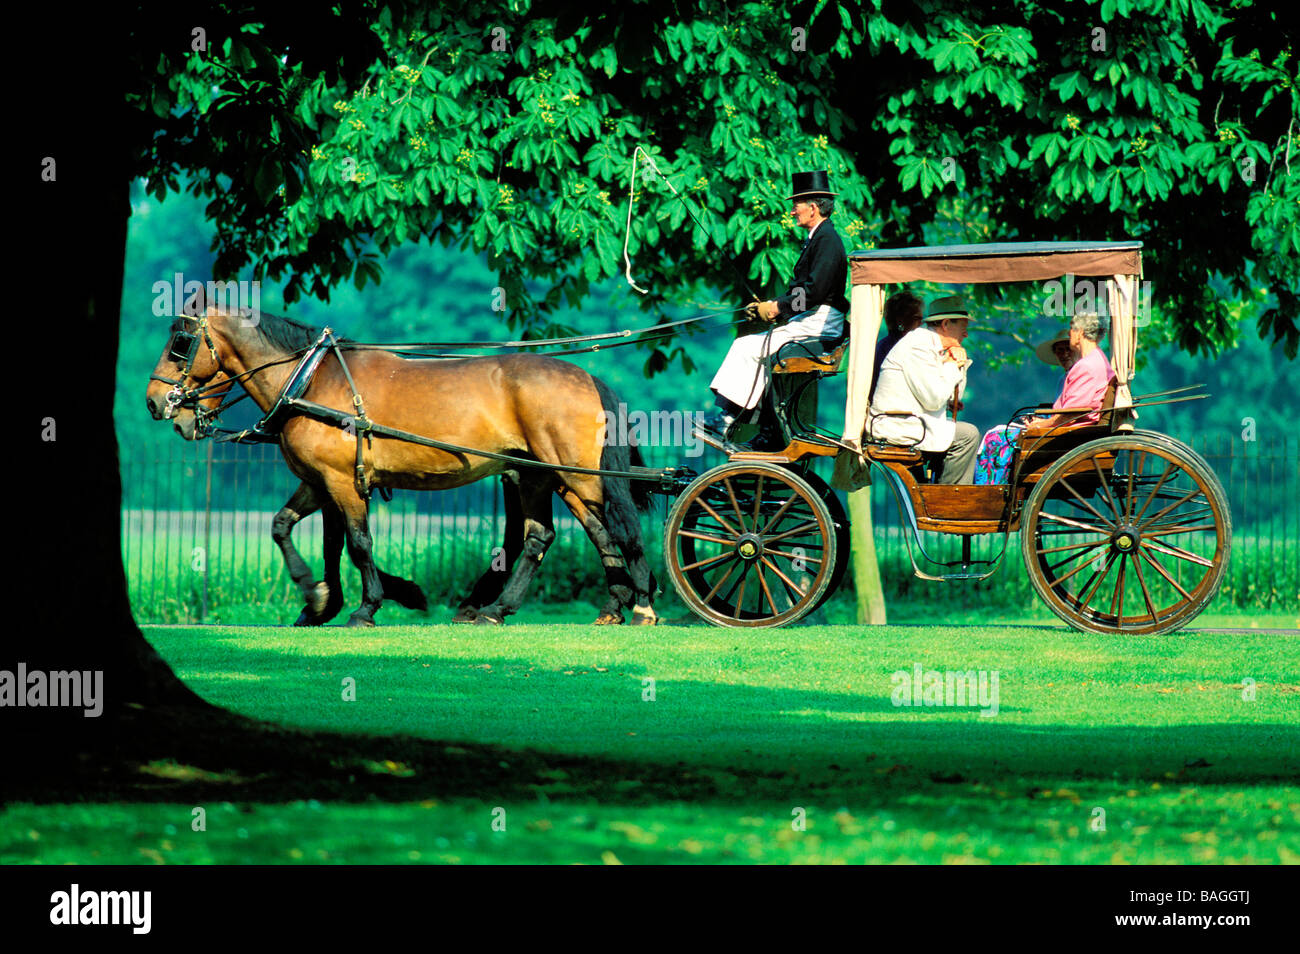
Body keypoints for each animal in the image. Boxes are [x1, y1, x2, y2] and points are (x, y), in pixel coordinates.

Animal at [147, 306, 660, 629]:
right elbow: (290, 529)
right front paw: (318, 599)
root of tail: (586, 377)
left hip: (578, 476)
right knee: (558, 536)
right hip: (543, 476)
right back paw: (529, 607)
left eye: (181, 342)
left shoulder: (342, 482)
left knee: (618, 530)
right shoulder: (320, 482)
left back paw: (639, 604)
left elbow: (357, 544)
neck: (311, 381)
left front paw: (366, 606)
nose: (156, 402)